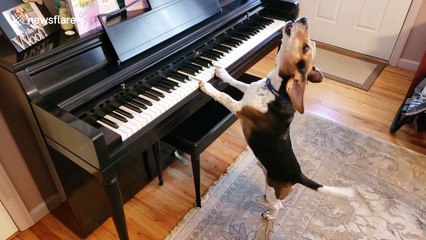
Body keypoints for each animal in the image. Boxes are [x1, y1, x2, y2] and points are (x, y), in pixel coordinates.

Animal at [200, 16, 356, 219]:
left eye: (305, 47)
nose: (304, 18)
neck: (275, 90)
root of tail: (298, 175)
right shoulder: (248, 90)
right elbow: (236, 81)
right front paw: (221, 72)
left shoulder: (240, 109)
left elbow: (224, 96)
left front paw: (206, 86)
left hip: (273, 188)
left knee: (279, 205)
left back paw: (269, 215)